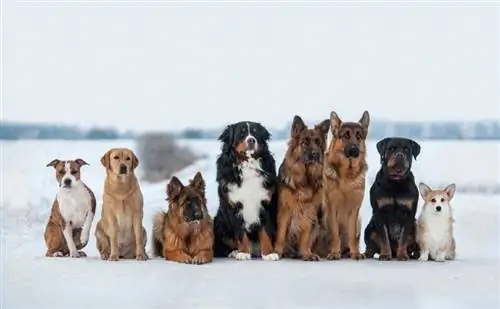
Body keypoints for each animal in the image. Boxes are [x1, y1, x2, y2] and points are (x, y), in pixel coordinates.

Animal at [212, 120, 280, 260]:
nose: (251, 140)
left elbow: (266, 231)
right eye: (241, 133)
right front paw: (243, 252)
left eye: (255, 132)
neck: (248, 165)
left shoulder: (266, 204)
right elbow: (240, 232)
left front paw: (269, 253)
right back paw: (234, 252)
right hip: (220, 222)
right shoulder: (234, 206)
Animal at [274, 115, 332, 260]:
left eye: (318, 142)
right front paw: (277, 251)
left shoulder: (309, 211)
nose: (316, 154)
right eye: (304, 142)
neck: (305, 180)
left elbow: (305, 236)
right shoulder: (284, 211)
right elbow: (281, 234)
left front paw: (306, 253)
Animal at [322, 109, 370, 258]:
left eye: (359, 136)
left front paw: (356, 253)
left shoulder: (354, 209)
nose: (354, 149)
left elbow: (352, 235)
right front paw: (334, 252)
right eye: (346, 136)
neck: (346, 176)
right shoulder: (331, 207)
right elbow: (335, 233)